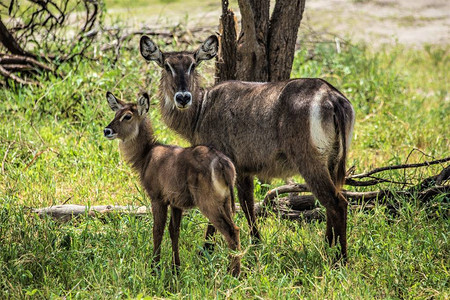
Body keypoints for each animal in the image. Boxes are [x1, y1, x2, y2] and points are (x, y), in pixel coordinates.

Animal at [103, 92, 241, 276]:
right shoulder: (176, 203)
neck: (146, 155)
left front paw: (154, 267)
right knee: (235, 229)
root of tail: (222, 162)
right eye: (116, 113)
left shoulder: (157, 198)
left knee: (230, 232)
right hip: (225, 202)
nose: (107, 130)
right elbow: (174, 231)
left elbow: (157, 230)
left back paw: (234, 274)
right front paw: (176, 267)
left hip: (209, 203)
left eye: (127, 116)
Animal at [141, 35, 356, 260]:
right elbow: (247, 204)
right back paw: (328, 245)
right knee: (333, 201)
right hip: (332, 160)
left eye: (193, 64)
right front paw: (256, 243)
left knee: (337, 203)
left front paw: (206, 249)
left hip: (309, 161)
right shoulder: (243, 168)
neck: (201, 110)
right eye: (167, 66)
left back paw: (340, 259)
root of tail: (331, 96)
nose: (183, 97)